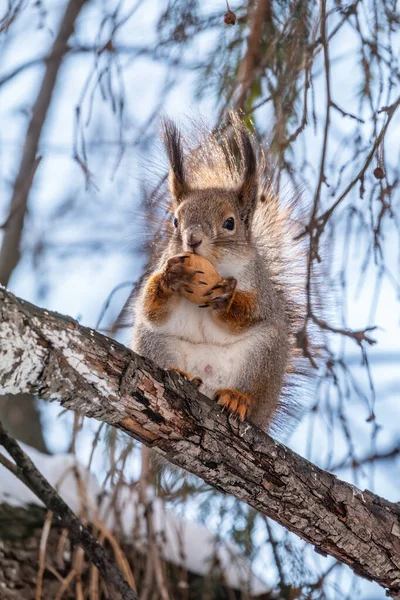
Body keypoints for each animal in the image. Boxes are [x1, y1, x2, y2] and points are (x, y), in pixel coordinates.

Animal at [131, 113, 306, 432]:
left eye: (229, 223)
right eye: (175, 221)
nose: (192, 240)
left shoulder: (260, 290)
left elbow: (248, 312)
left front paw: (226, 297)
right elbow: (151, 309)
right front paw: (170, 279)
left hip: (264, 356)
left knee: (250, 391)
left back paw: (238, 398)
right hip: (153, 341)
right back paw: (182, 375)